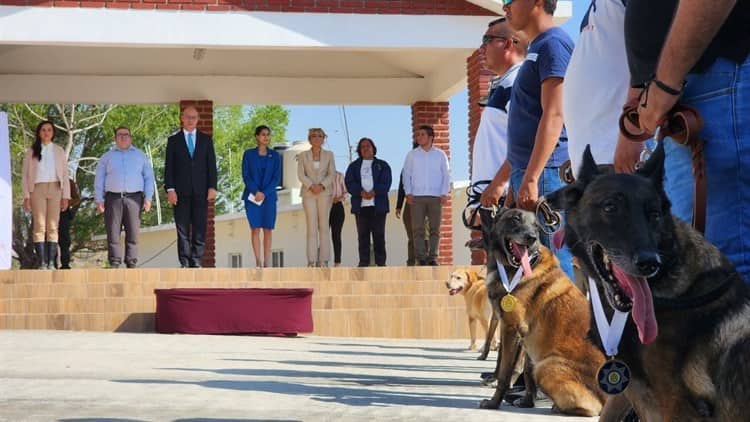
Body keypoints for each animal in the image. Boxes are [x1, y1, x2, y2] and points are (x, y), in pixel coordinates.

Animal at [482, 208, 612, 416]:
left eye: (536, 226)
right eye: (515, 218)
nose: (531, 237)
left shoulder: (511, 328)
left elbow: (505, 373)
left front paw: (493, 403)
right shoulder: (524, 337)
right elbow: (527, 372)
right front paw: (527, 401)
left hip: (546, 366)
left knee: (593, 409)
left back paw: (560, 407)